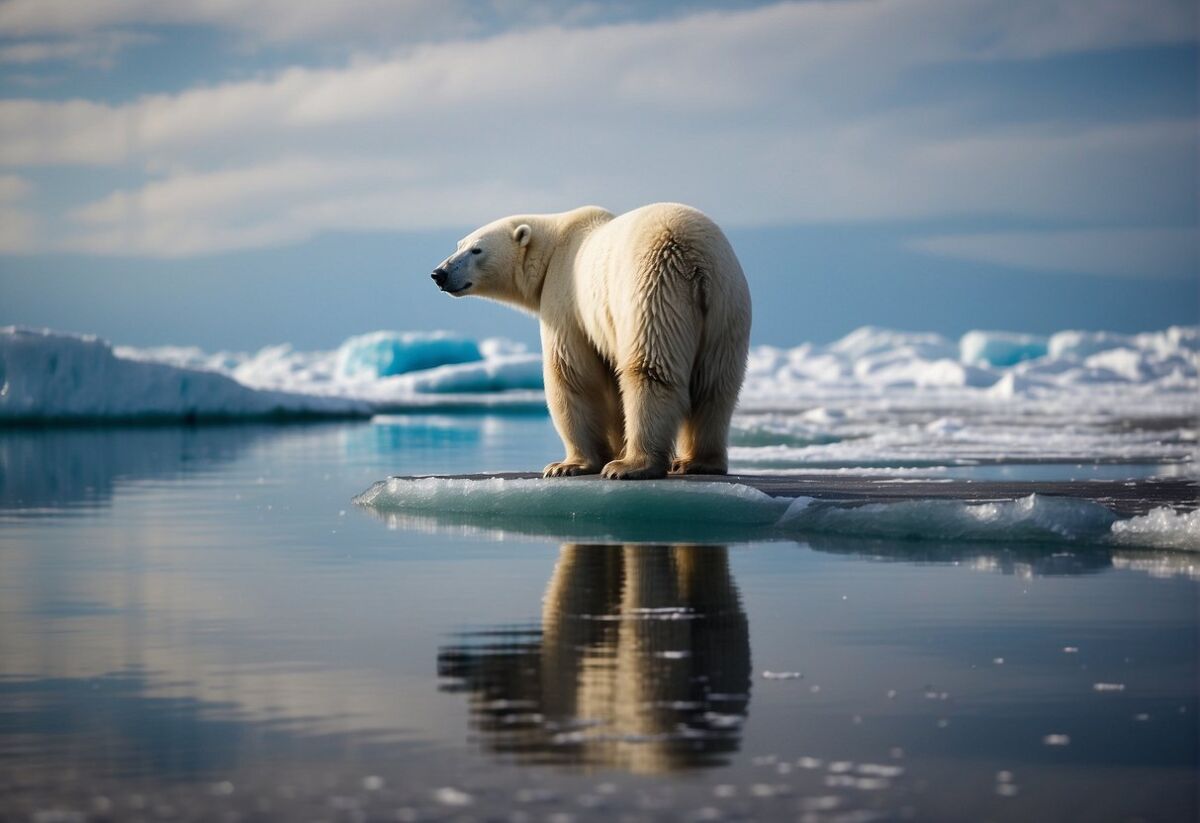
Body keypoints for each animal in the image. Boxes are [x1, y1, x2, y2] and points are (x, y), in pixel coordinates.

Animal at [431, 203, 751, 480]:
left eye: (476, 249)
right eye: (459, 245)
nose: (439, 273)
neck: (555, 245)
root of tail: (694, 257)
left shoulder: (565, 297)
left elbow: (571, 375)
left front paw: (567, 465)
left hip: (655, 284)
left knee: (650, 369)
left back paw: (631, 465)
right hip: (726, 305)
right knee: (716, 384)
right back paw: (697, 461)